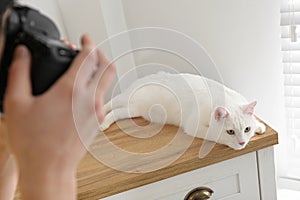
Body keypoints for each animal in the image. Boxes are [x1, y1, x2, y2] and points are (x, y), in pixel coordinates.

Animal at [100, 72, 264, 150]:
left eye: (247, 129)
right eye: (230, 132)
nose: (242, 142)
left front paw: (259, 127)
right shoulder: (193, 126)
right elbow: (213, 135)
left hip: (133, 109)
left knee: (116, 112)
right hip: (126, 99)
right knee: (110, 103)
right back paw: (100, 120)